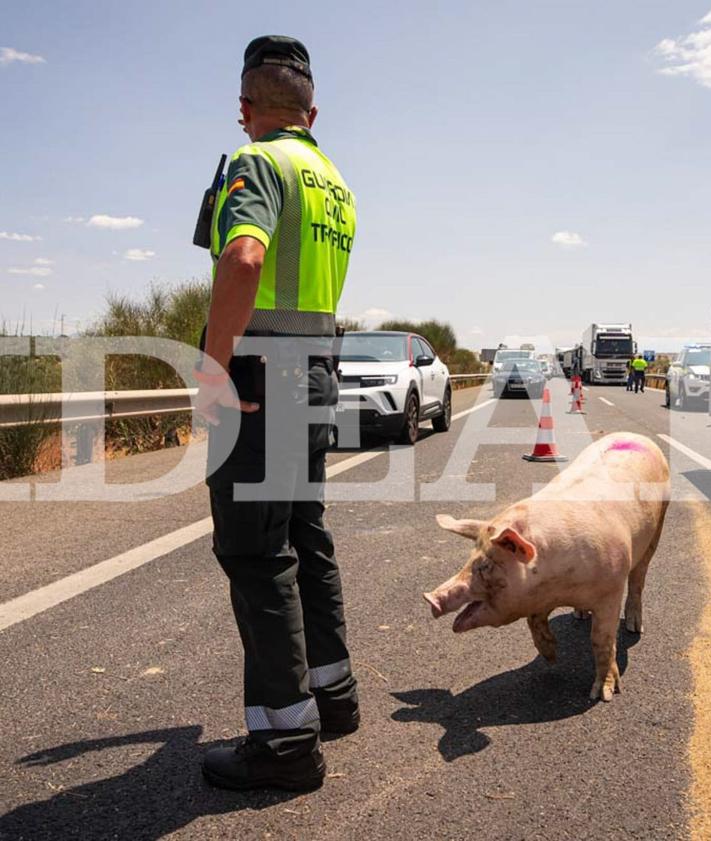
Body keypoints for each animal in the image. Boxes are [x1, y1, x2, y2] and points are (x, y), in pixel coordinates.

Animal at [426, 434, 672, 704]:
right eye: (469, 558)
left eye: (486, 565)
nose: (430, 597)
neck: (557, 587)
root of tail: (635, 436)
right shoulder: (537, 596)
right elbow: (534, 623)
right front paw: (552, 657)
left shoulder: (611, 590)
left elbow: (602, 639)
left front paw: (602, 695)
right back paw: (579, 615)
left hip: (658, 525)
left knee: (639, 577)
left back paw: (634, 626)